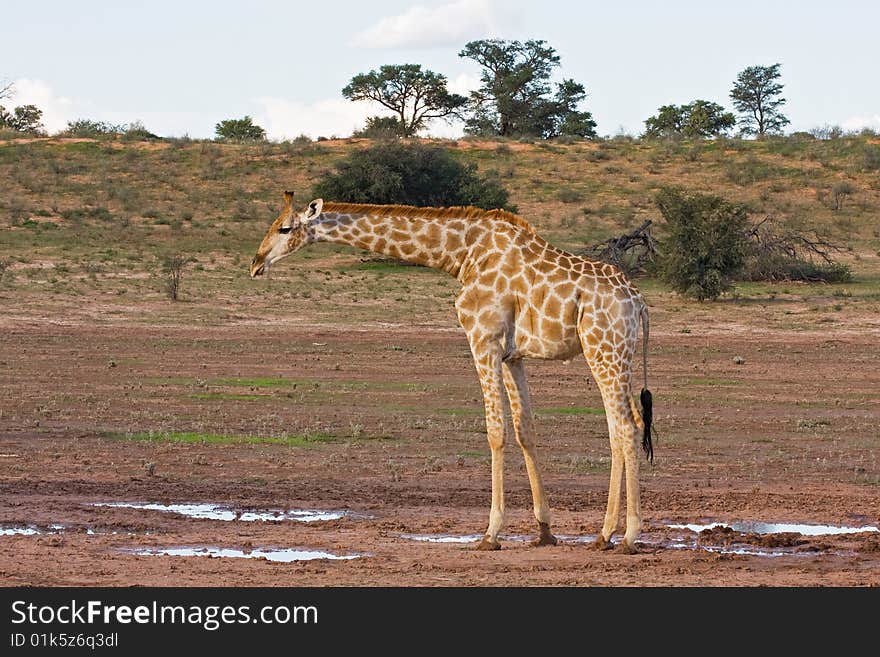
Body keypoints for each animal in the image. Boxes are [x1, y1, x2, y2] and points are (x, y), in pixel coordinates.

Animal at [249, 192, 652, 552]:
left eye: (284, 228)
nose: (255, 263)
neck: (462, 254)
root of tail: (639, 302)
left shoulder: (482, 339)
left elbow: (496, 432)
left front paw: (491, 533)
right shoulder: (512, 355)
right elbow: (525, 430)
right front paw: (544, 531)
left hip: (604, 348)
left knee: (627, 427)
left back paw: (628, 536)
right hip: (615, 354)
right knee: (621, 426)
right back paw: (604, 535)